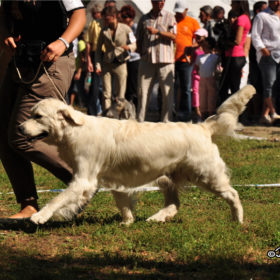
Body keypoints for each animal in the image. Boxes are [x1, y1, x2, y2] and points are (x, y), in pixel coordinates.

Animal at [20, 85, 256, 225]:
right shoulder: (113, 178)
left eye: (38, 116)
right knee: (173, 204)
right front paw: (127, 222)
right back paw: (156, 219)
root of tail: (203, 127)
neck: (74, 130)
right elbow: (122, 202)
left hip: (206, 174)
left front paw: (39, 216)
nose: (20, 128)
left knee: (233, 194)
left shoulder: (83, 180)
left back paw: (237, 219)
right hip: (167, 177)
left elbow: (57, 198)